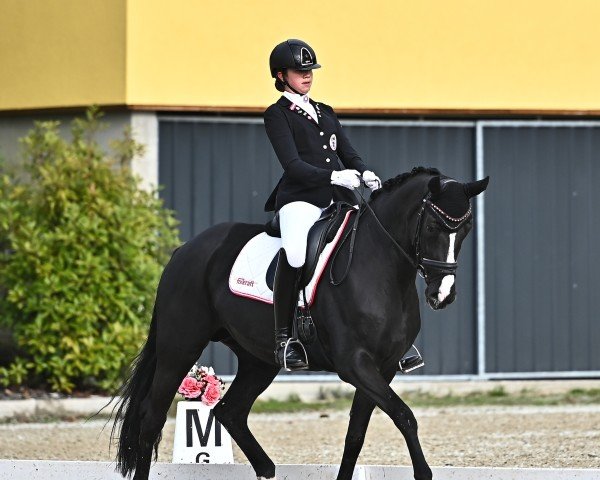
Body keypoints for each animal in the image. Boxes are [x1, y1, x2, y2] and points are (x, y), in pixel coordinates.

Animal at [111, 168, 488, 480]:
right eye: (433, 227)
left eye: (466, 230)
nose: (443, 295)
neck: (381, 269)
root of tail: (185, 250)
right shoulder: (355, 364)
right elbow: (404, 415)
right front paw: (423, 473)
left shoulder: (383, 368)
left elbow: (356, 435)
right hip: (180, 347)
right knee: (151, 418)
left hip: (258, 360)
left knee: (231, 412)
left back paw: (267, 469)